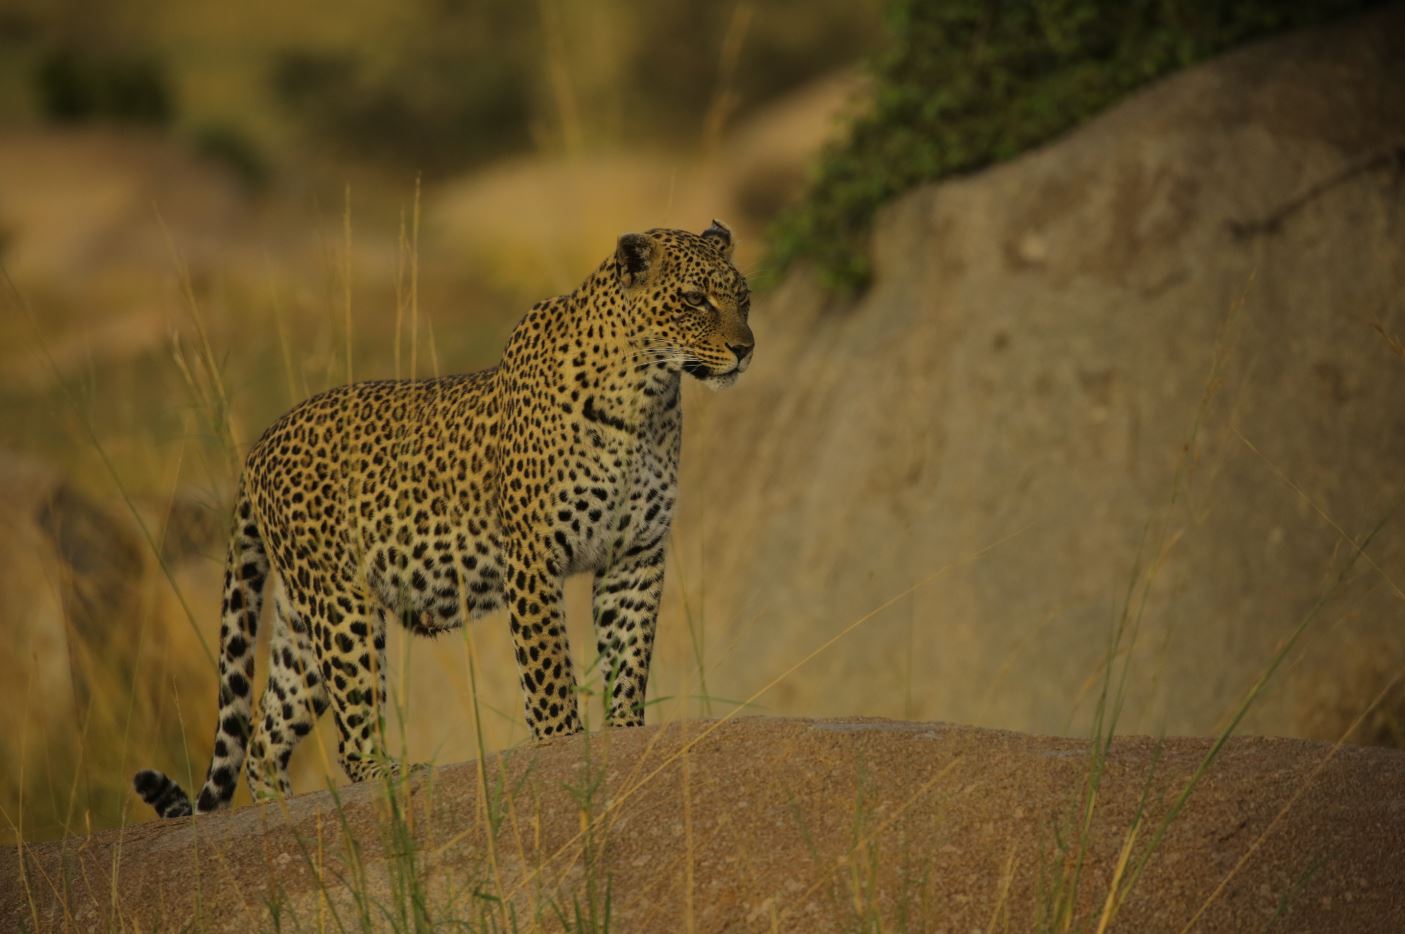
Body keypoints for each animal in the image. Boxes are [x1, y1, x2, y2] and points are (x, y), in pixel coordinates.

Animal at [134, 221, 753, 818]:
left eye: (743, 298)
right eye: (695, 299)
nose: (746, 348)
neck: (646, 395)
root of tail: (259, 445)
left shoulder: (635, 555)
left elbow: (629, 653)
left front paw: (626, 732)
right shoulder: (533, 558)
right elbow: (549, 669)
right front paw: (562, 747)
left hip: (300, 624)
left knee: (265, 737)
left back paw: (280, 818)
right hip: (343, 607)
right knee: (349, 735)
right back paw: (391, 775)